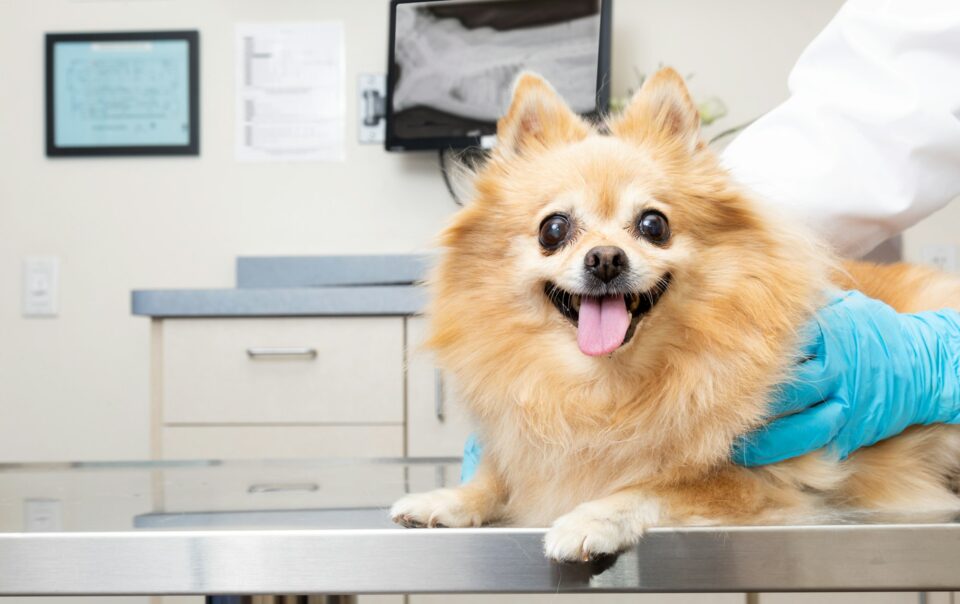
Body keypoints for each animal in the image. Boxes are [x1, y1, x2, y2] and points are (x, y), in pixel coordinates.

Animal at [388, 67, 960, 560]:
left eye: (652, 225)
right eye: (553, 229)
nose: (605, 258)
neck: (605, 388)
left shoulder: (769, 480)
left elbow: (665, 482)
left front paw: (593, 516)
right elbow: (499, 473)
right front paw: (450, 497)